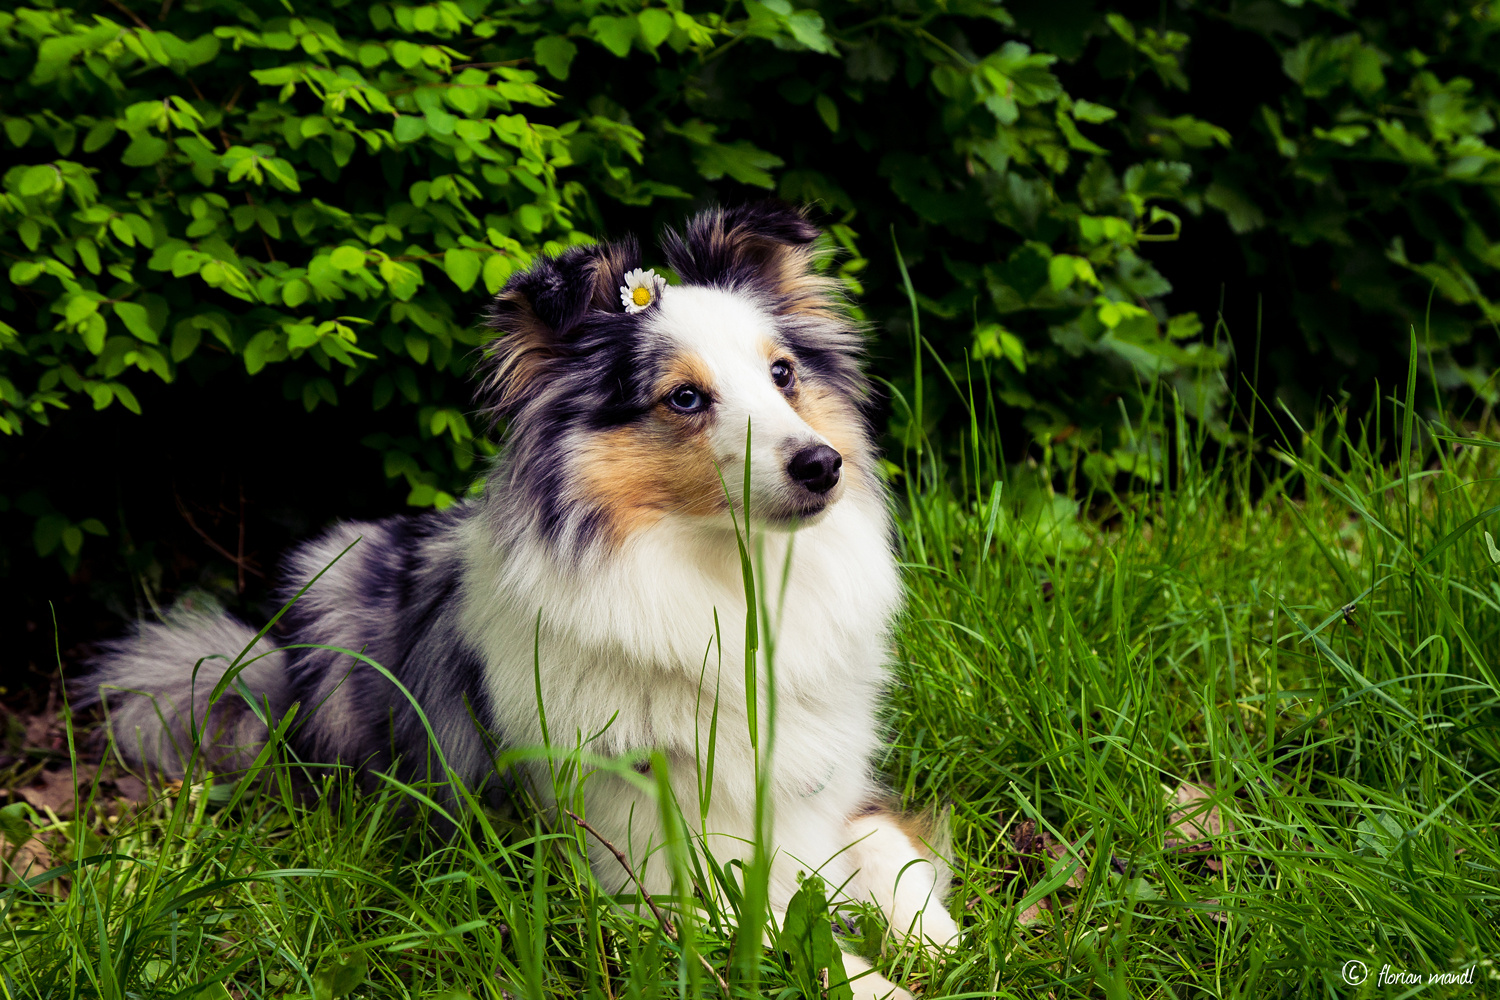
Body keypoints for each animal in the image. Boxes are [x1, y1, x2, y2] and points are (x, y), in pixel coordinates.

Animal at [76, 205, 960, 1000]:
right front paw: (888, 983)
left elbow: (887, 849)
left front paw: (945, 944)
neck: (725, 580)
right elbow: (795, 942)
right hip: (334, 581)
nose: (823, 465)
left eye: (782, 374)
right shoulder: (652, 873)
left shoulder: (830, 791)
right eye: (683, 398)